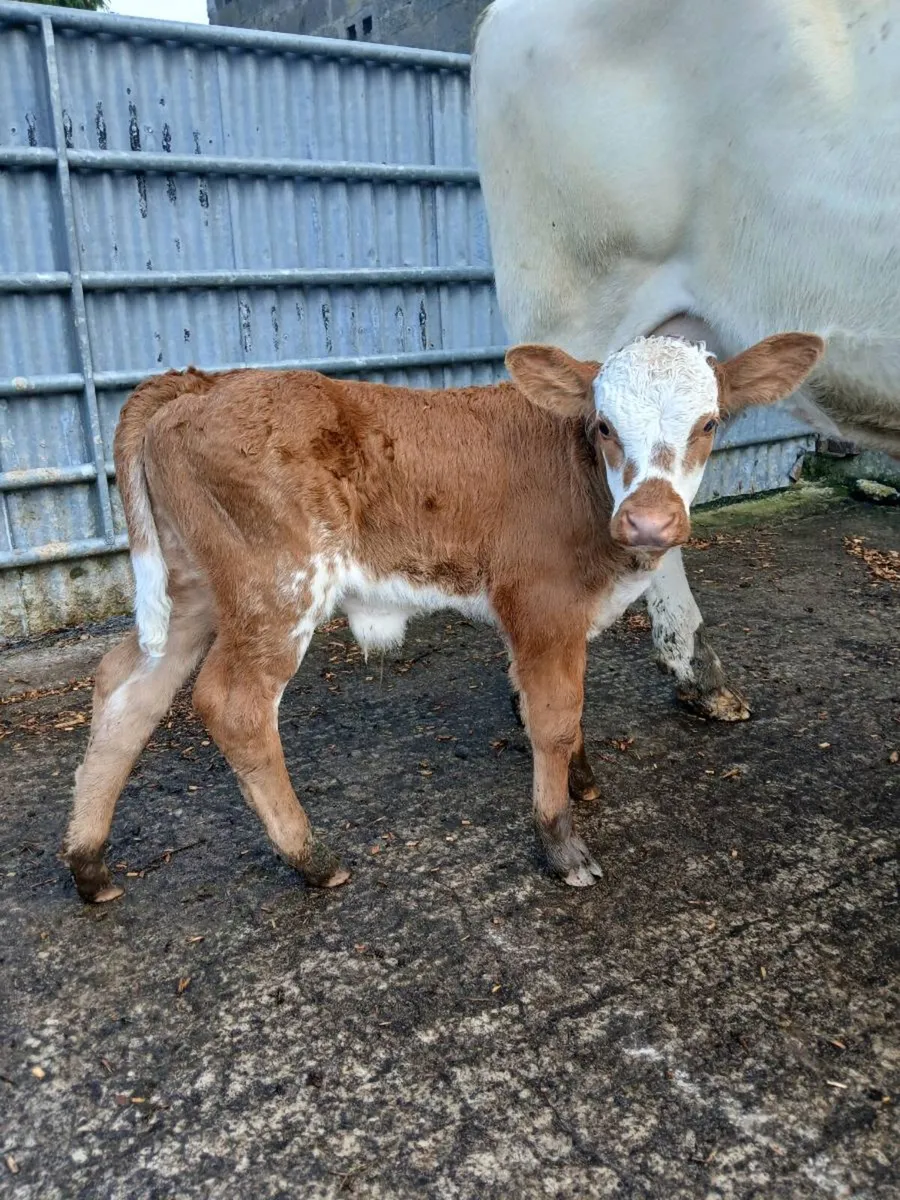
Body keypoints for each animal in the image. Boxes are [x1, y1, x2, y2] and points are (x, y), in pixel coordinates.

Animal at [63, 333, 822, 902]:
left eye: (708, 424)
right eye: (605, 426)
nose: (650, 521)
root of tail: (201, 382)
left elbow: (559, 707)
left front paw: (581, 779)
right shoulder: (540, 603)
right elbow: (552, 715)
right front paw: (559, 840)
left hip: (191, 585)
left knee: (127, 685)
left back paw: (89, 863)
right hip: (274, 586)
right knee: (232, 703)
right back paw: (311, 858)